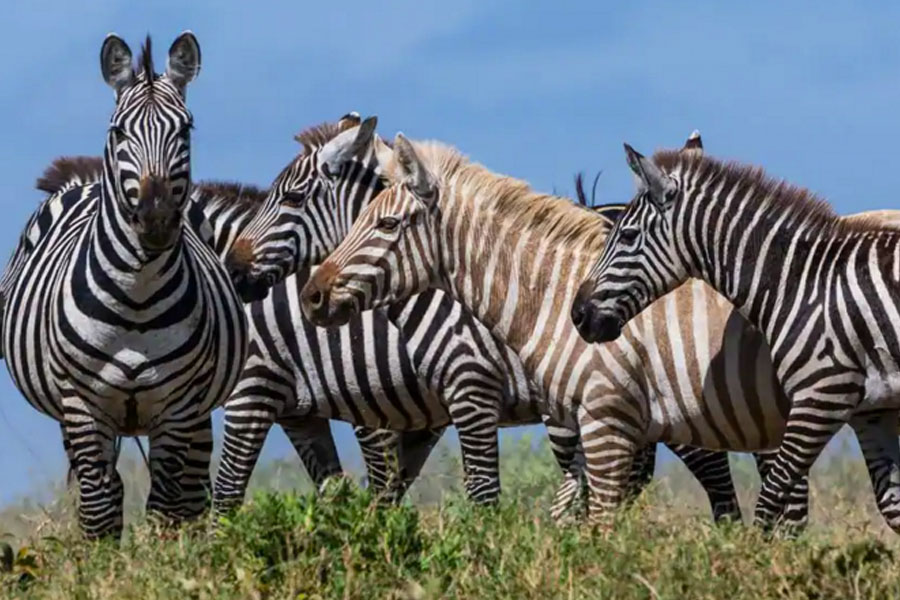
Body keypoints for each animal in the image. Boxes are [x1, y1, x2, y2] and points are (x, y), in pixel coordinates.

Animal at [0, 34, 246, 540]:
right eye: (118, 132)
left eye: (186, 130)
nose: (155, 220)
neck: (137, 297)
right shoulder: (82, 404)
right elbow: (99, 506)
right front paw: (103, 559)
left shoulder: (178, 406)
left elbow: (167, 506)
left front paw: (164, 559)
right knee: (107, 488)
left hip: (195, 409)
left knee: (192, 489)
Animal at [568, 143, 900, 532]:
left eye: (628, 236)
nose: (578, 315)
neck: (799, 283)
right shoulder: (872, 410)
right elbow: (893, 504)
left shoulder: (821, 397)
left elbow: (771, 497)